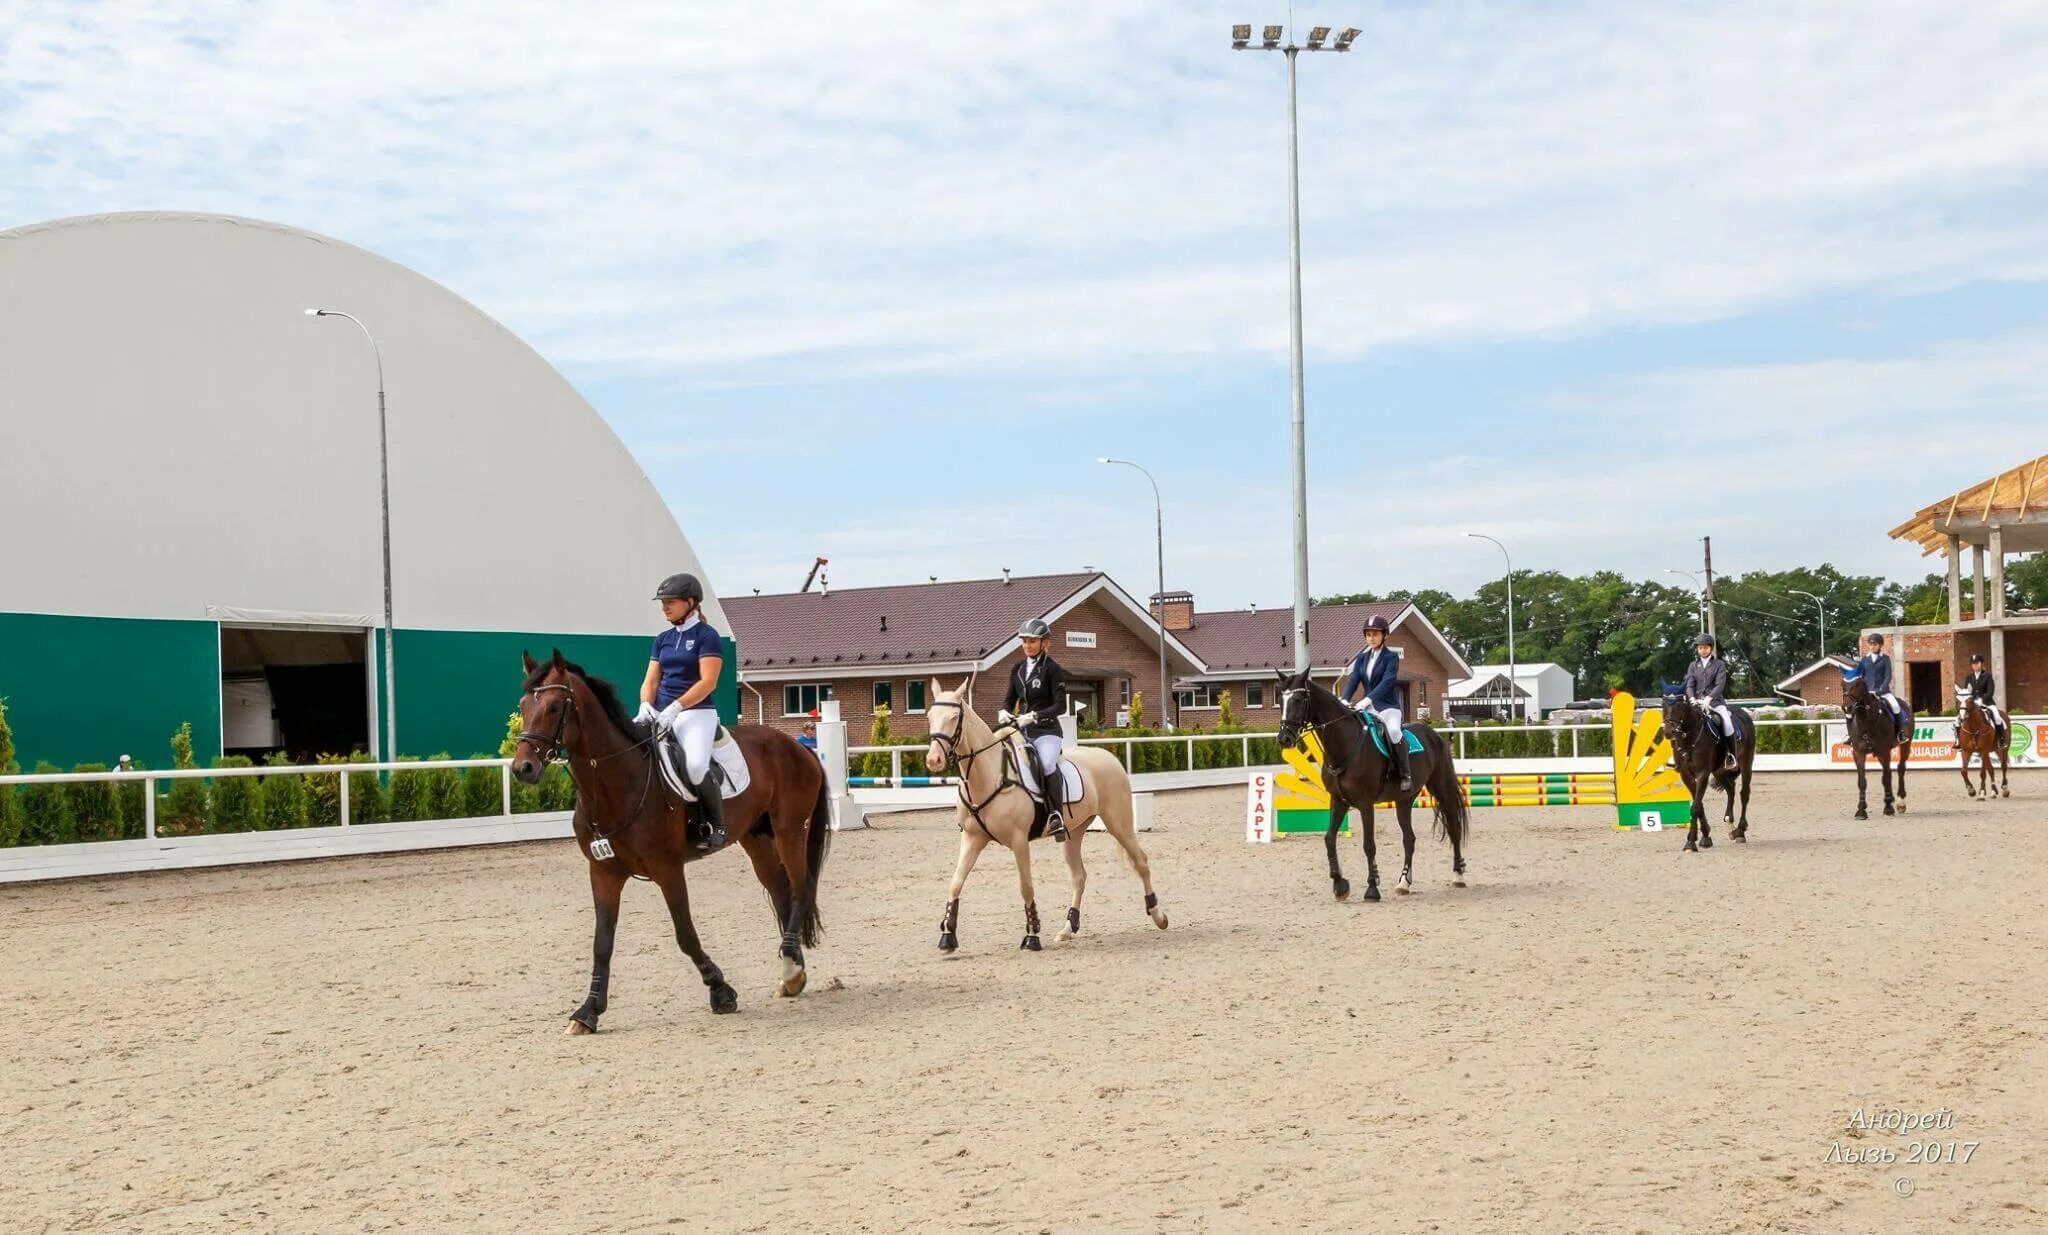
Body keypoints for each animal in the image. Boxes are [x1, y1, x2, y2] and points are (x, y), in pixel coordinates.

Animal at [512, 651, 831, 1040]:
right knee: (782, 891)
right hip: (756, 839)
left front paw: (721, 991)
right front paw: (588, 1012)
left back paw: (789, 967)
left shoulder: (668, 869)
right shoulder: (603, 871)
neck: (619, 782)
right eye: (524, 705)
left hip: (790, 831)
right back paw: (793, 974)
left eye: (556, 706)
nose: (523, 768)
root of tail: (797, 747)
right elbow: (602, 943)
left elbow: (685, 935)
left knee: (800, 888)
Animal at [917, 675, 1163, 958]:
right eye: (929, 716)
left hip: (1118, 824)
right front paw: (947, 936)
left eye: (954, 717)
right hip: (1073, 833)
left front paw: (1032, 937)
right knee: (1079, 876)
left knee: (1141, 861)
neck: (989, 775)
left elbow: (1026, 887)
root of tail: (1109, 757)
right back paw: (1067, 928)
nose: (933, 760)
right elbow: (955, 883)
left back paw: (1159, 916)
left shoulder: (1018, 841)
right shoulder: (972, 838)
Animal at [1269, 671, 1466, 905]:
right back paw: (1404, 883)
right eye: (1280, 700)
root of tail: (1433, 734)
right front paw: (1340, 885)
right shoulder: (1338, 801)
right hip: (1404, 800)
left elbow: (1368, 844)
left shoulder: (1365, 803)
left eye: (1298, 699)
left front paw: (1372, 888)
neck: (1344, 744)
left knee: (1454, 827)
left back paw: (1458, 876)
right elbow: (1329, 839)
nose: (1284, 739)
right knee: (1409, 838)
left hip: (1442, 788)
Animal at [1662, 692, 1761, 856]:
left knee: (1744, 793)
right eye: (1663, 704)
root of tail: (1743, 713)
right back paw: (1730, 824)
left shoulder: (1703, 773)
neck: (1690, 739)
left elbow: (1696, 807)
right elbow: (1699, 804)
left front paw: (1690, 842)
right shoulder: (1686, 775)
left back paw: (1740, 831)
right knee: (1731, 789)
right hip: (1719, 771)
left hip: (1746, 764)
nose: (1669, 732)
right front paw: (1705, 836)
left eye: (1679, 705)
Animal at [1843, 671, 1916, 815]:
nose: (1847, 708)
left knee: (1900, 768)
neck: (1865, 723)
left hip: (1905, 744)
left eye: (1858, 684)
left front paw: (1888, 807)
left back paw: (1900, 802)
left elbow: (1885, 777)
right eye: (1842, 684)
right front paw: (1861, 810)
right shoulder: (1858, 753)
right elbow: (1862, 781)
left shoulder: (1885, 751)